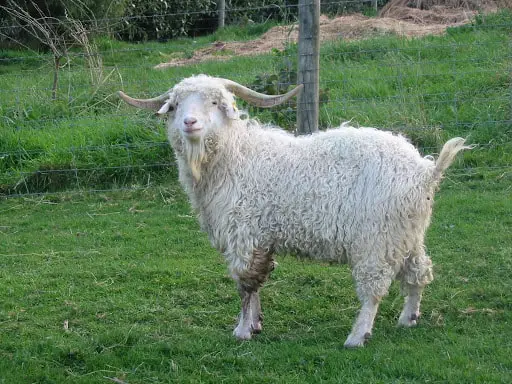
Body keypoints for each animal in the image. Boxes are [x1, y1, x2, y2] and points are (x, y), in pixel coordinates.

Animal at [118, 74, 470, 348]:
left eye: (216, 102)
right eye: (176, 105)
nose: (190, 122)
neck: (235, 156)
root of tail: (425, 171)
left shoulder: (244, 233)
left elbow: (246, 283)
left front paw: (242, 330)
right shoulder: (261, 238)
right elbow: (258, 281)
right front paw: (256, 324)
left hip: (376, 239)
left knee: (373, 289)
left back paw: (357, 336)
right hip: (405, 234)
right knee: (418, 273)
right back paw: (408, 318)